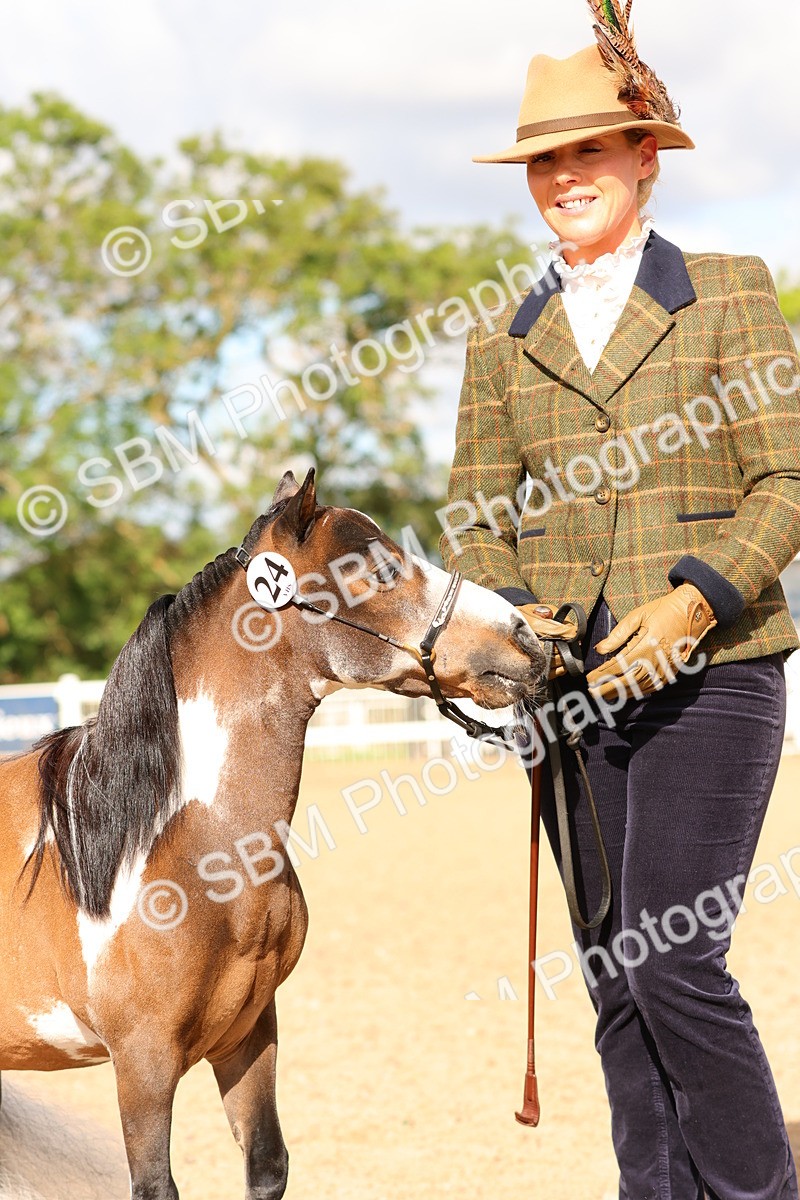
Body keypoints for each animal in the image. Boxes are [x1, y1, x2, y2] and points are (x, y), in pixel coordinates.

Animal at [0, 468, 545, 1200]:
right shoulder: (142, 1063)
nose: (525, 637)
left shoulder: (250, 1033)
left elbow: (267, 1164)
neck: (176, 850)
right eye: (375, 566)